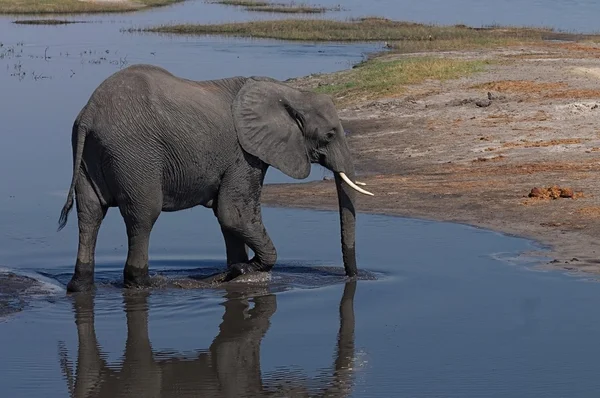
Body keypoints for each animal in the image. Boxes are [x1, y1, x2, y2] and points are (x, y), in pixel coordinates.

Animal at [57, 63, 376, 292]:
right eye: (330, 135)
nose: (352, 277)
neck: (286, 92)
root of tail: (89, 115)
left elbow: (227, 218)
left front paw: (237, 268)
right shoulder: (244, 153)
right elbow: (234, 213)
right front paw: (245, 269)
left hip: (89, 156)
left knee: (90, 215)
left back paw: (79, 286)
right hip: (135, 155)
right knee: (143, 215)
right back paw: (147, 284)